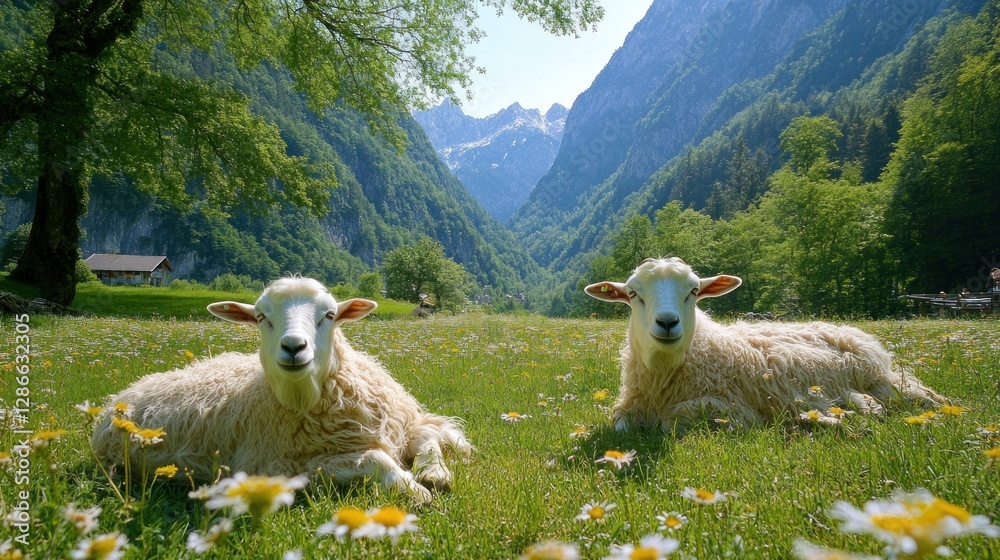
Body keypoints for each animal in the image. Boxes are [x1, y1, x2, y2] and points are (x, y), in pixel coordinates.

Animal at [91, 277, 471, 504]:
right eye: (261, 317)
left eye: (329, 315)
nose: (293, 347)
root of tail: (117, 399)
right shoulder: (279, 467)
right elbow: (376, 458)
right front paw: (415, 488)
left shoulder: (403, 424)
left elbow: (430, 435)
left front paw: (436, 473)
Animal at [585, 257, 944, 432]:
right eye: (633, 293)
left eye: (694, 291)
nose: (668, 323)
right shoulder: (629, 407)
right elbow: (620, 426)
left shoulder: (727, 405)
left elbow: (668, 422)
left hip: (883, 381)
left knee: (921, 397)